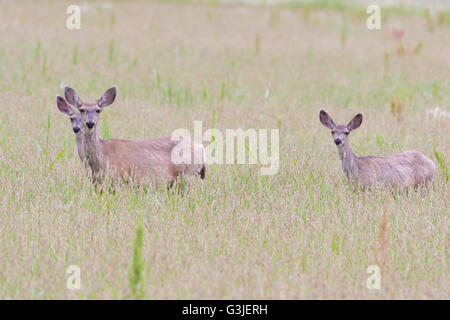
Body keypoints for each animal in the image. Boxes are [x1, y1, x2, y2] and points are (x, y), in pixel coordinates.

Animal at [62, 85, 207, 188]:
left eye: (98, 110)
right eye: (81, 110)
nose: (90, 123)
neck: (101, 158)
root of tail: (202, 148)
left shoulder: (120, 177)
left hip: (187, 174)